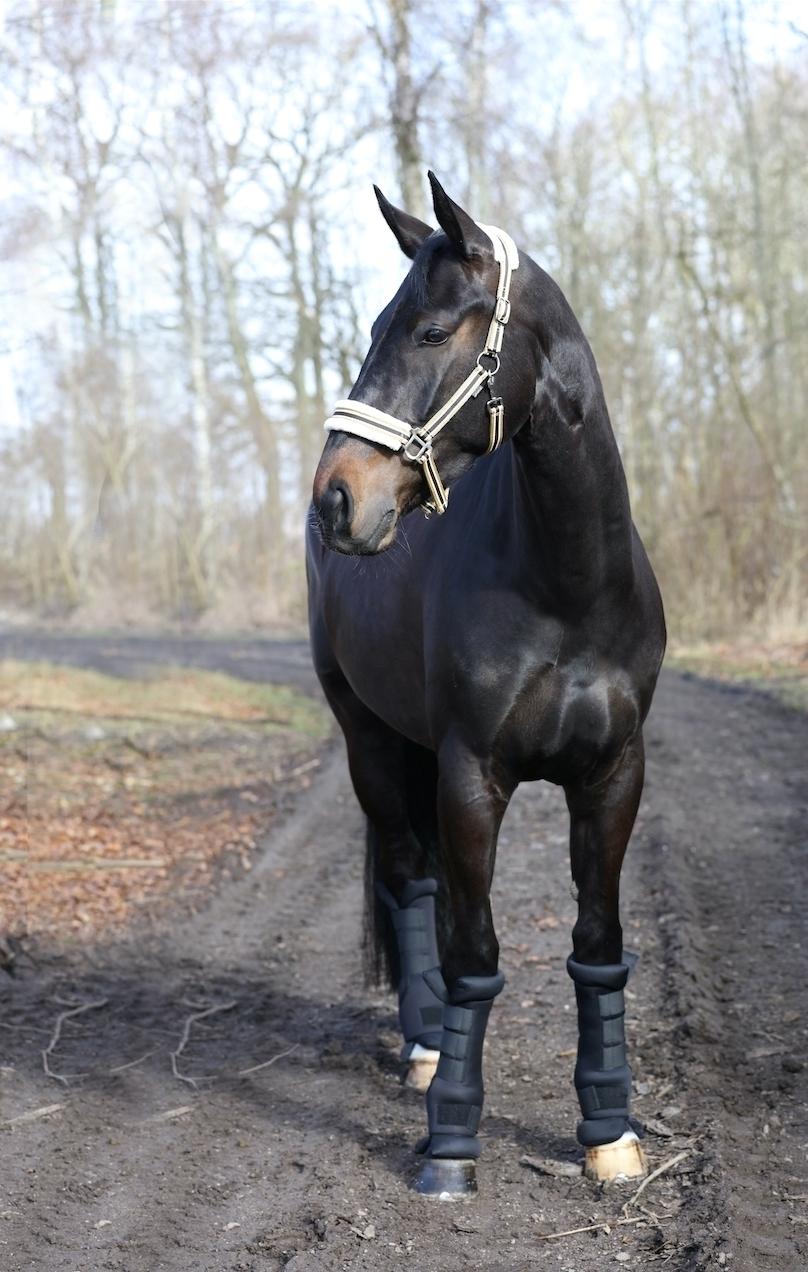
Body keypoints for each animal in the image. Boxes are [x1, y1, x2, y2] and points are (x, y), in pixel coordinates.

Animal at [306, 171, 666, 1197]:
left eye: (431, 333)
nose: (337, 497)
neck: (564, 583)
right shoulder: (473, 777)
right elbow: (474, 953)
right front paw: (451, 1142)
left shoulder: (613, 777)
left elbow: (599, 948)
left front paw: (609, 1130)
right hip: (371, 743)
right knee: (408, 880)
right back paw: (427, 1048)